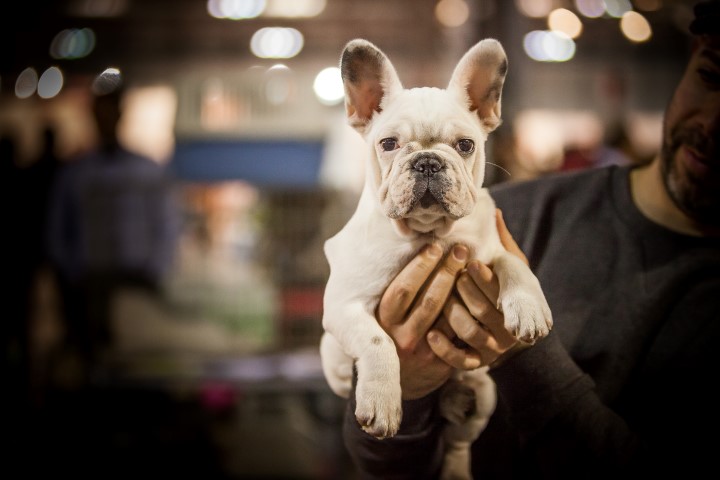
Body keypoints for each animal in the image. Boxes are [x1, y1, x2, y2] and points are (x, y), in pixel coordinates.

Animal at [320, 38, 552, 480]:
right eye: (388, 144)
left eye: (465, 145)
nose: (427, 161)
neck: (428, 232)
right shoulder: (343, 304)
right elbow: (377, 341)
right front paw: (381, 401)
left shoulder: (489, 249)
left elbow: (515, 265)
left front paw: (529, 307)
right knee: (333, 355)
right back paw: (342, 370)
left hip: (484, 395)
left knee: (458, 441)